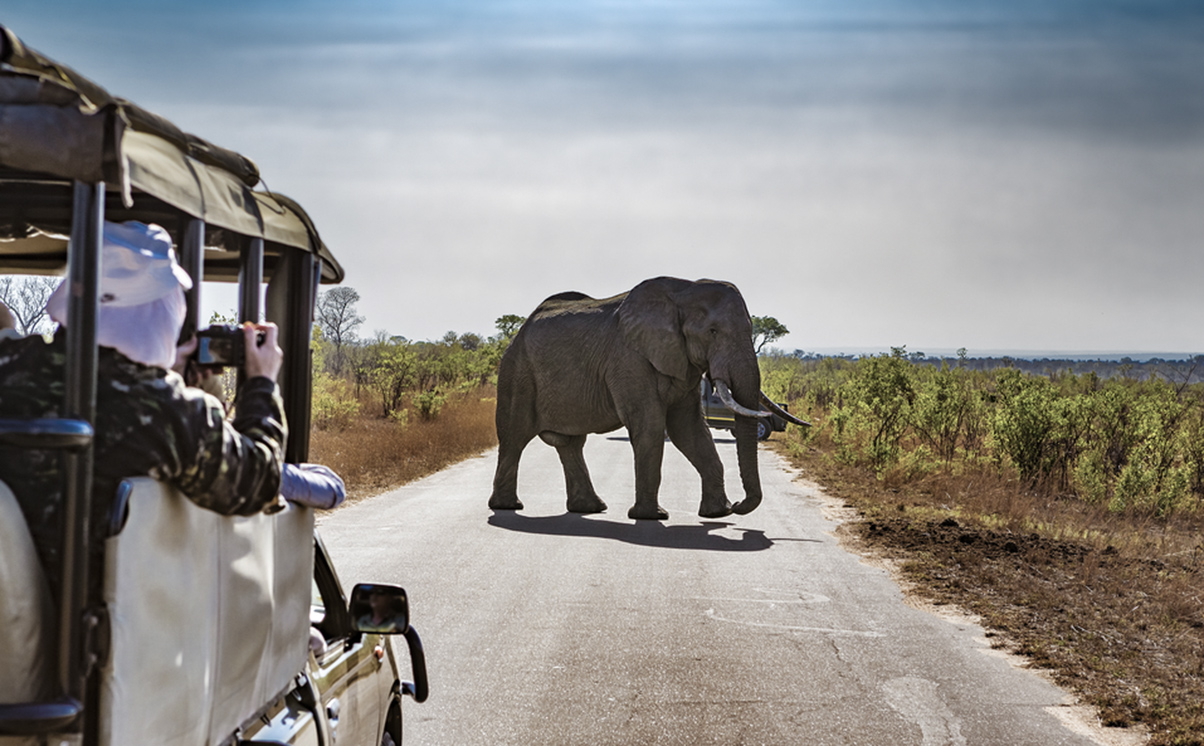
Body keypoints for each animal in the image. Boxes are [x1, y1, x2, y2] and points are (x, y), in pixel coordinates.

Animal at [488, 276, 807, 520]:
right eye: (713, 331)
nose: (741, 505)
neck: (683, 291)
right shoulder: (628, 359)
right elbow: (650, 425)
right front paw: (652, 517)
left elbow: (689, 429)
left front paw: (718, 513)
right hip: (517, 372)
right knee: (514, 436)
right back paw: (508, 507)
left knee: (570, 444)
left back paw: (590, 509)